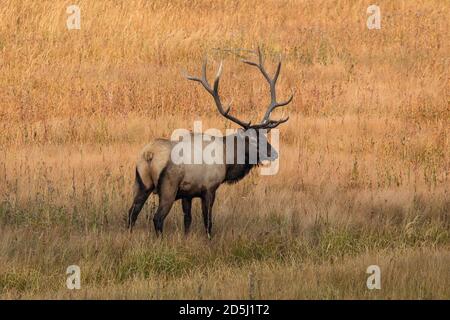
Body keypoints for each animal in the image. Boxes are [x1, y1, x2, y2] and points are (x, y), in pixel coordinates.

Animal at [127, 47, 296, 238]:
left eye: (265, 136)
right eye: (252, 140)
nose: (274, 153)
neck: (228, 162)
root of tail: (149, 154)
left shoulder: (187, 194)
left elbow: (188, 221)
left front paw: (186, 239)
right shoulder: (209, 188)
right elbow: (208, 222)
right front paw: (209, 240)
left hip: (141, 182)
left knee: (132, 213)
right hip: (168, 187)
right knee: (157, 218)